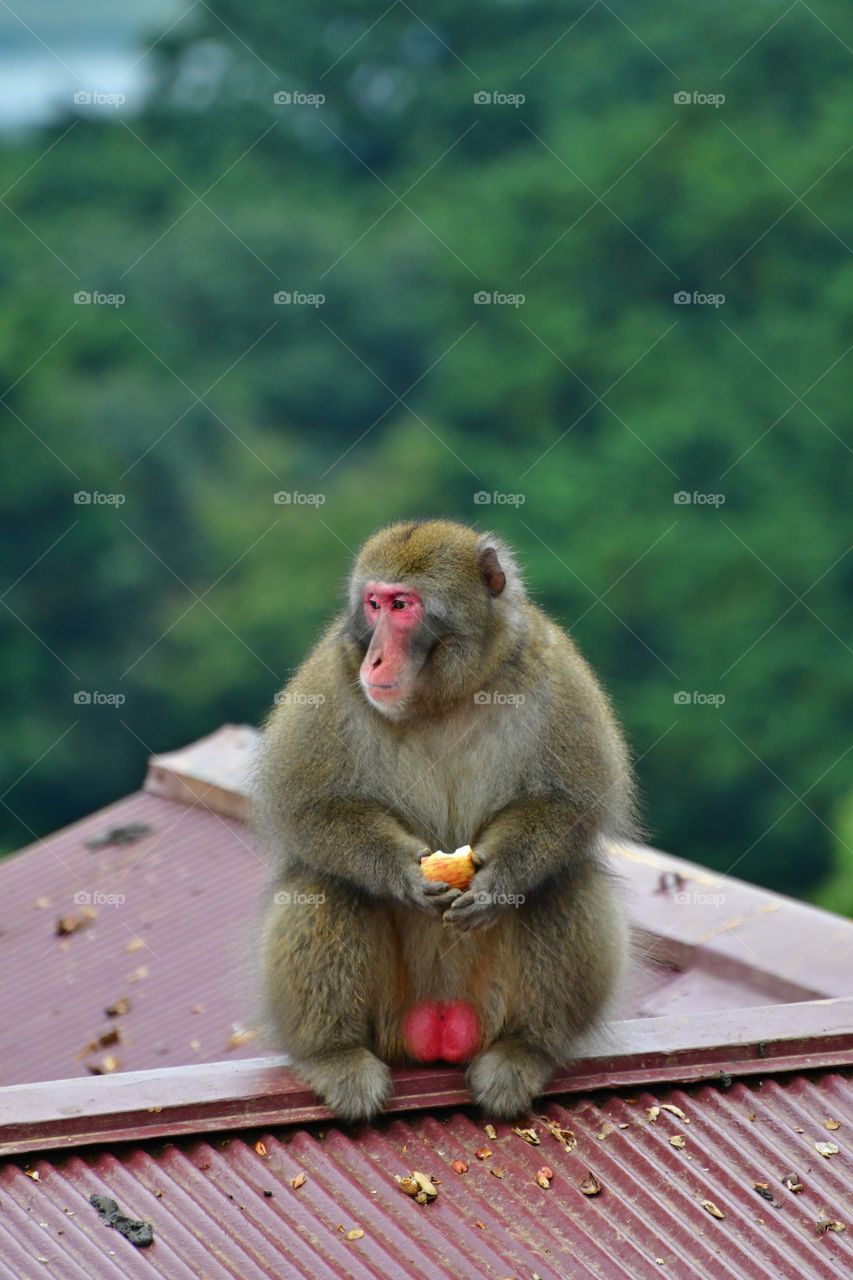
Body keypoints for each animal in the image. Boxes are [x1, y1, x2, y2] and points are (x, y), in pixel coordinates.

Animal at [255, 519, 636, 1121]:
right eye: (373, 603)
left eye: (403, 605)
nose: (375, 660)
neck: (444, 696)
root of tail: (437, 1023)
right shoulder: (331, 674)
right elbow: (307, 806)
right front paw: (401, 874)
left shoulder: (552, 664)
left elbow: (572, 804)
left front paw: (500, 881)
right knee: (324, 881)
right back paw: (335, 1054)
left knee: (565, 877)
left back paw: (526, 1048)